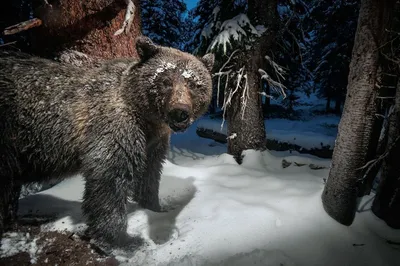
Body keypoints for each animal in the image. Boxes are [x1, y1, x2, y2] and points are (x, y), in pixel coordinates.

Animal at [0, 36, 216, 250]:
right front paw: (119, 239)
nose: (180, 112)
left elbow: (150, 174)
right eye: (165, 80)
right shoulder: (115, 125)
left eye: (193, 83)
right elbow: (110, 177)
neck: (146, 118)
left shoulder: (154, 142)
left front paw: (155, 208)